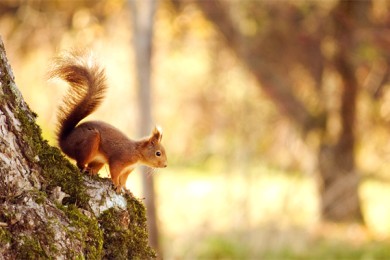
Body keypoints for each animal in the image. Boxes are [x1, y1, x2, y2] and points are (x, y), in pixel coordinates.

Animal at [49, 51, 167, 192]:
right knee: (79, 162)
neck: (137, 153)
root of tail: (64, 142)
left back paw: (92, 171)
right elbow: (115, 172)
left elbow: (124, 179)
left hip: (99, 159)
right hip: (89, 141)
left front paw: (126, 189)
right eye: (158, 153)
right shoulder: (119, 160)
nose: (165, 165)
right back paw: (84, 168)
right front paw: (116, 185)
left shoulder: (128, 169)